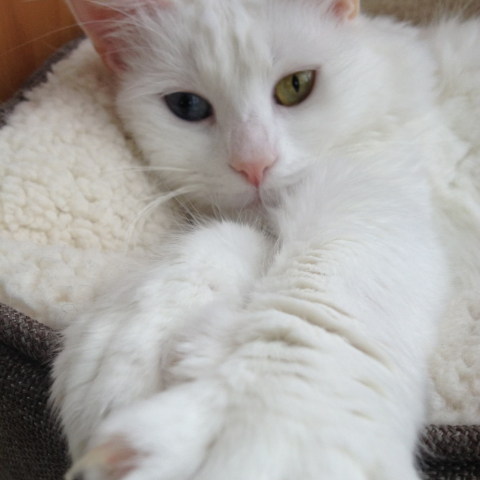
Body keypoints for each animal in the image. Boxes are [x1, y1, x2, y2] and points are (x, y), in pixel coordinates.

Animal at [51, 0, 480, 478]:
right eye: (187, 105)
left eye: (297, 86)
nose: (253, 163)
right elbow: (217, 243)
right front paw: (131, 341)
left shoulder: (380, 202)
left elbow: (315, 307)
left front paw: (264, 420)